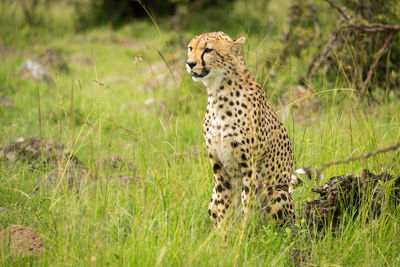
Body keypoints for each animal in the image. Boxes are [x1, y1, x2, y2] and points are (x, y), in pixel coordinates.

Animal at [186, 30, 296, 228]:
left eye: (208, 50)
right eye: (191, 48)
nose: (190, 64)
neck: (218, 92)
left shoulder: (250, 169)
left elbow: (247, 207)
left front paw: (243, 234)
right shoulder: (219, 169)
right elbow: (223, 206)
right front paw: (221, 234)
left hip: (278, 193)